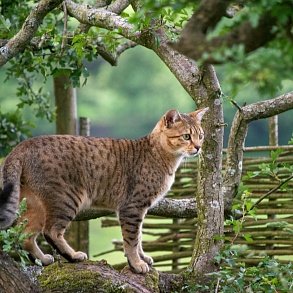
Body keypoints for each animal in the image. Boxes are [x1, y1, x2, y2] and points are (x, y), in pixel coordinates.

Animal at [0, 108, 208, 274]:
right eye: (186, 136)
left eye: (201, 135)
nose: (198, 148)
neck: (161, 156)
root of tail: (22, 145)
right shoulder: (132, 207)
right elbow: (131, 240)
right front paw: (136, 264)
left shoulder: (139, 209)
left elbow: (140, 237)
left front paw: (142, 257)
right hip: (66, 199)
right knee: (50, 231)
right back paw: (73, 256)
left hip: (36, 204)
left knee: (24, 234)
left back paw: (43, 259)